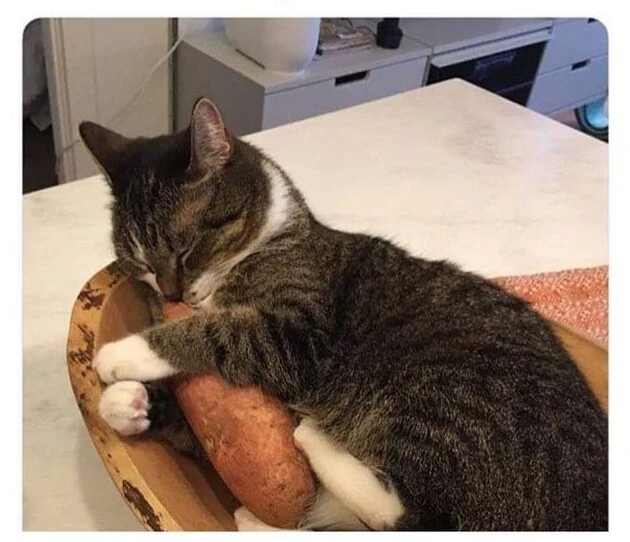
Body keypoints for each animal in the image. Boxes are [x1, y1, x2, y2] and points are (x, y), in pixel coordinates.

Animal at [79, 97, 607, 531]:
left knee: (414, 516)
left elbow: (221, 331)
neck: (272, 237)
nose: (172, 292)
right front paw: (128, 403)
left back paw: (312, 442)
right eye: (140, 265)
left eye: (185, 249)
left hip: (447, 396)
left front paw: (123, 355)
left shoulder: (299, 335)